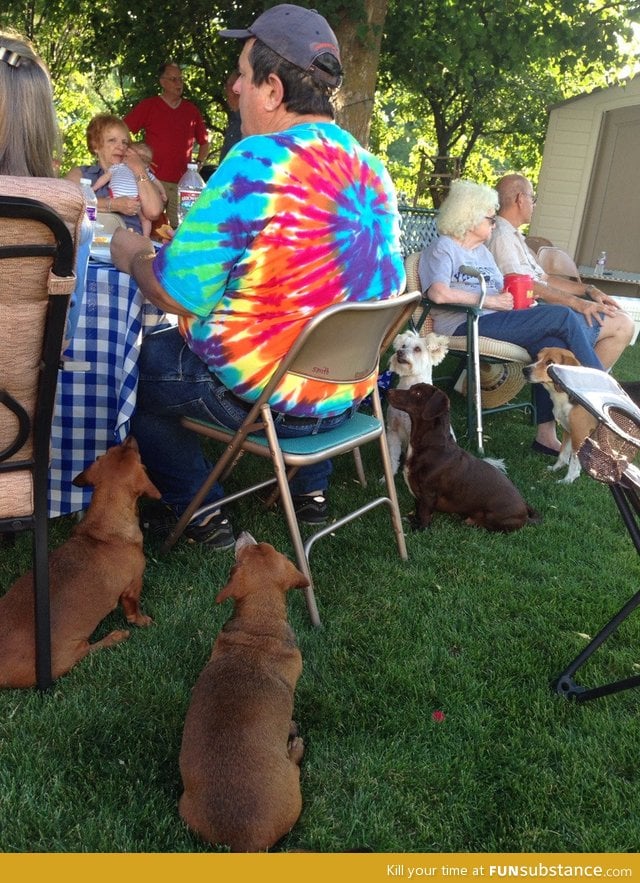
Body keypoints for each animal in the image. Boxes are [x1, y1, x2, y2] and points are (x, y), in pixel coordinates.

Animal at [0, 438, 161, 688]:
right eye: (138, 456)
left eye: (113, 449)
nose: (129, 436)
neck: (103, 530)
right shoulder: (133, 586)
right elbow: (133, 611)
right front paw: (143, 621)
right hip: (67, 657)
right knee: (89, 650)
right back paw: (115, 636)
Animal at [179, 536, 312, 852]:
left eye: (263, 547)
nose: (244, 534)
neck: (258, 625)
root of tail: (247, 844)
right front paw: (291, 727)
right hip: (293, 786)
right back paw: (295, 747)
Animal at [384, 382, 540, 532]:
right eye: (411, 388)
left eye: (417, 393)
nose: (388, 391)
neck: (430, 445)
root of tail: (525, 511)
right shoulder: (417, 493)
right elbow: (417, 510)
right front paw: (413, 521)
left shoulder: (428, 494)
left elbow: (424, 514)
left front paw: (421, 529)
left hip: (494, 516)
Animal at [524, 348, 596, 484]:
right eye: (537, 358)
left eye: (550, 362)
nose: (524, 370)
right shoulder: (568, 430)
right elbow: (563, 454)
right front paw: (555, 468)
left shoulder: (579, 435)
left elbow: (574, 462)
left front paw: (568, 480)